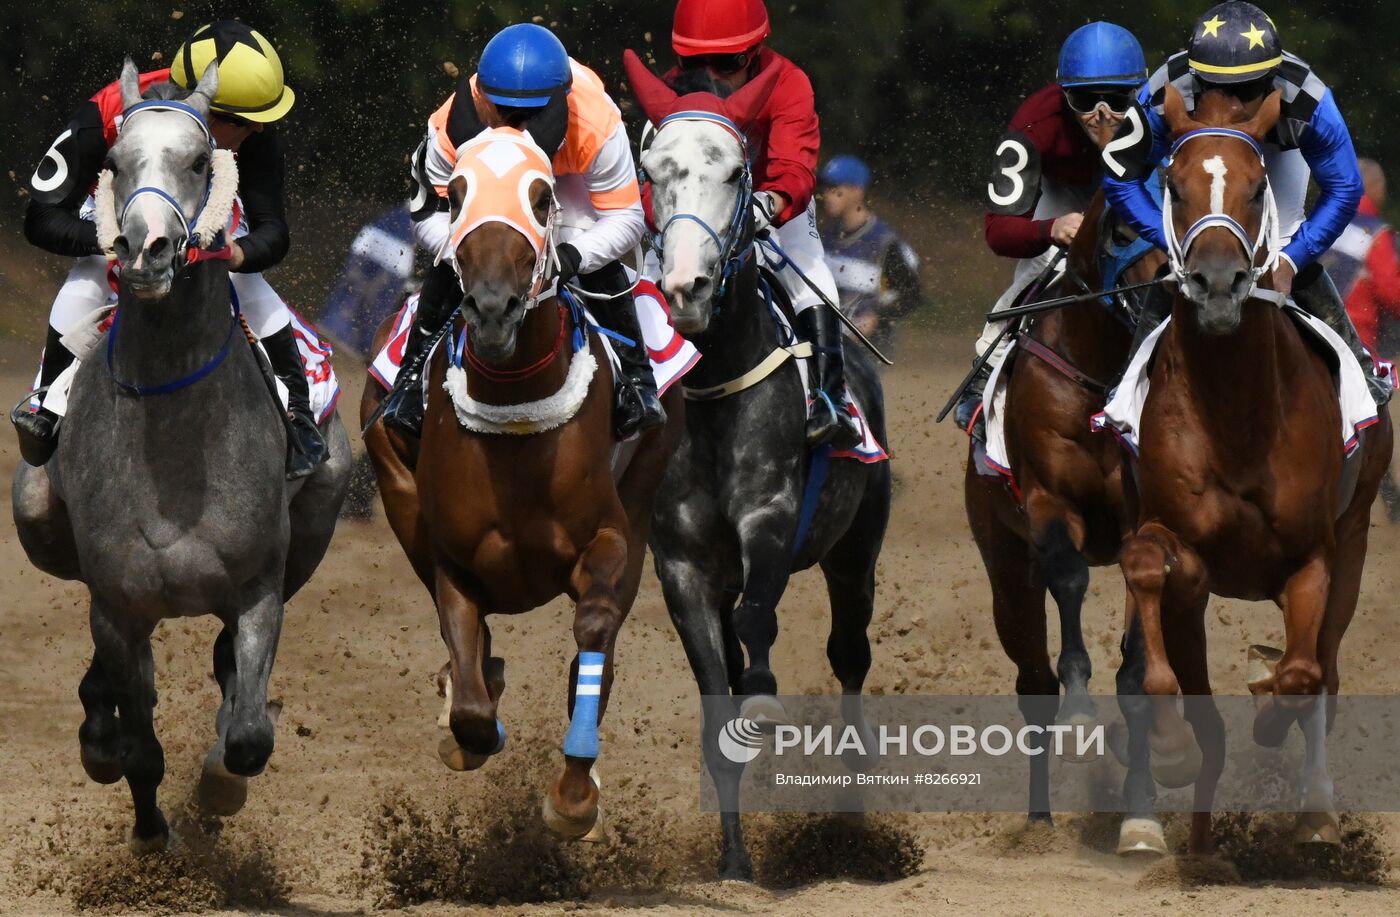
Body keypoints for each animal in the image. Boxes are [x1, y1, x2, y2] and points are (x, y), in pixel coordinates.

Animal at [12, 62, 350, 851]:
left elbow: (250, 733)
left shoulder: (259, 589)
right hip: (40, 520)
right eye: (111, 162)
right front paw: (146, 825)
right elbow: (140, 744)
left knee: (230, 666)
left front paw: (221, 778)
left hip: (316, 524)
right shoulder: (120, 606)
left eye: (201, 162)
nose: (145, 250)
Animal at [361, 128, 683, 840]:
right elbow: (470, 699)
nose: (489, 309)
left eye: (540, 199)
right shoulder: (451, 558)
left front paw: (574, 794)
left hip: (646, 487)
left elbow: (594, 627)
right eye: (455, 197)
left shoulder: (609, 535)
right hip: (396, 488)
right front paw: (468, 719)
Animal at [630, 59, 890, 884]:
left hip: (855, 550)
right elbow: (717, 695)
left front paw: (767, 697)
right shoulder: (682, 564)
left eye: (735, 171)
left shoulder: (771, 518)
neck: (718, 385)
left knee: (849, 655)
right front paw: (735, 861)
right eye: (654, 170)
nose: (686, 286)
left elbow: (757, 623)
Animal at [968, 189, 1164, 823]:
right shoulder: (1051, 505)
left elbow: (1138, 669)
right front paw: (1080, 695)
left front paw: (1141, 801)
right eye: (1123, 228)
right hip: (1007, 569)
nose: (1163, 303)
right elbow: (1072, 579)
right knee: (1033, 682)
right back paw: (1038, 818)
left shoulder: (1141, 525)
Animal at [1108, 86, 1394, 851]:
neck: (1236, 412)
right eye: (1174, 185)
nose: (1216, 284)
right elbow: (1149, 577)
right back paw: (1191, 835)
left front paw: (1270, 714)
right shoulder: (1178, 548)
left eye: (1258, 183)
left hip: (1357, 535)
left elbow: (1301, 673)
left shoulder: (1313, 554)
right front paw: (1170, 754)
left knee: (1325, 668)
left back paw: (1315, 809)